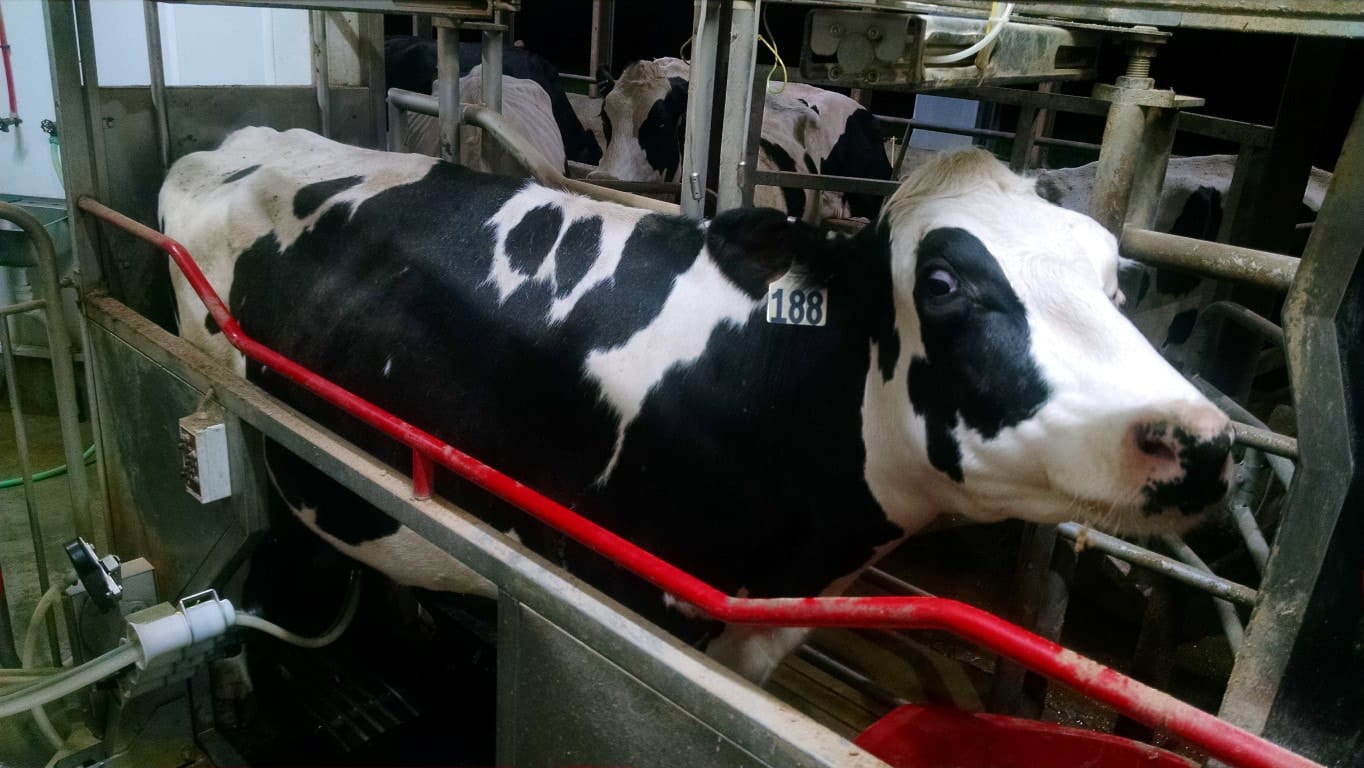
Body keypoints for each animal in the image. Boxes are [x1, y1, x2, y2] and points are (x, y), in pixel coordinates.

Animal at [159, 127, 1238, 684]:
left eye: (1114, 278)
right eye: (941, 283)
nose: (1201, 441)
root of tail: (245, 137)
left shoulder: (755, 632)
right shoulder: (618, 607)